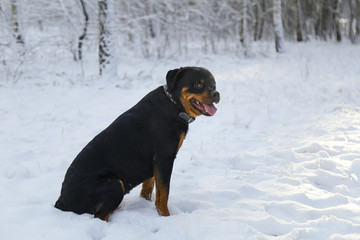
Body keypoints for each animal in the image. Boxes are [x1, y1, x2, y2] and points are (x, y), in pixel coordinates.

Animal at [55, 66, 221, 220]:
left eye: (213, 85)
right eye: (198, 84)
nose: (216, 94)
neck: (174, 105)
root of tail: (61, 203)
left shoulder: (154, 162)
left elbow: (149, 187)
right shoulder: (164, 158)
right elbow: (163, 195)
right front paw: (165, 217)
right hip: (114, 184)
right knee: (100, 216)